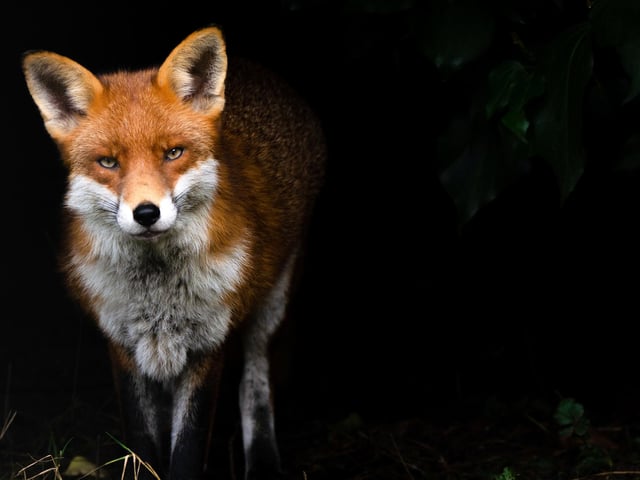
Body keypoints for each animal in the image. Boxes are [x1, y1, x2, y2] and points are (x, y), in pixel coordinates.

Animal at [22, 26, 326, 480]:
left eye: (173, 153)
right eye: (108, 162)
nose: (146, 213)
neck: (158, 293)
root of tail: (257, 70)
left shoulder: (208, 344)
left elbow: (187, 449)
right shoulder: (123, 345)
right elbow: (144, 443)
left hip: (272, 304)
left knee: (255, 383)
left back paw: (263, 460)